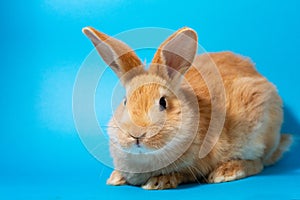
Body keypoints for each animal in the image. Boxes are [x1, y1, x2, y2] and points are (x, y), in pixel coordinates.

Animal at [82, 26, 292, 189]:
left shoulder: (197, 164)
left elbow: (184, 174)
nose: (137, 135)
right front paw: (116, 177)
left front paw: (159, 181)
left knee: (259, 163)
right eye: (125, 101)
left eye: (163, 102)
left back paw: (225, 172)